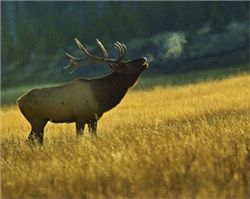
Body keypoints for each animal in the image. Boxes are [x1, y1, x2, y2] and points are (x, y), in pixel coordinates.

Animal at [18, 38, 148, 144]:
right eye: (128, 65)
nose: (144, 58)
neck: (101, 98)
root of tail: (19, 101)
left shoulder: (93, 119)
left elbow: (94, 137)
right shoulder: (80, 117)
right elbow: (79, 138)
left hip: (40, 121)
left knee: (33, 139)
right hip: (36, 120)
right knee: (32, 140)